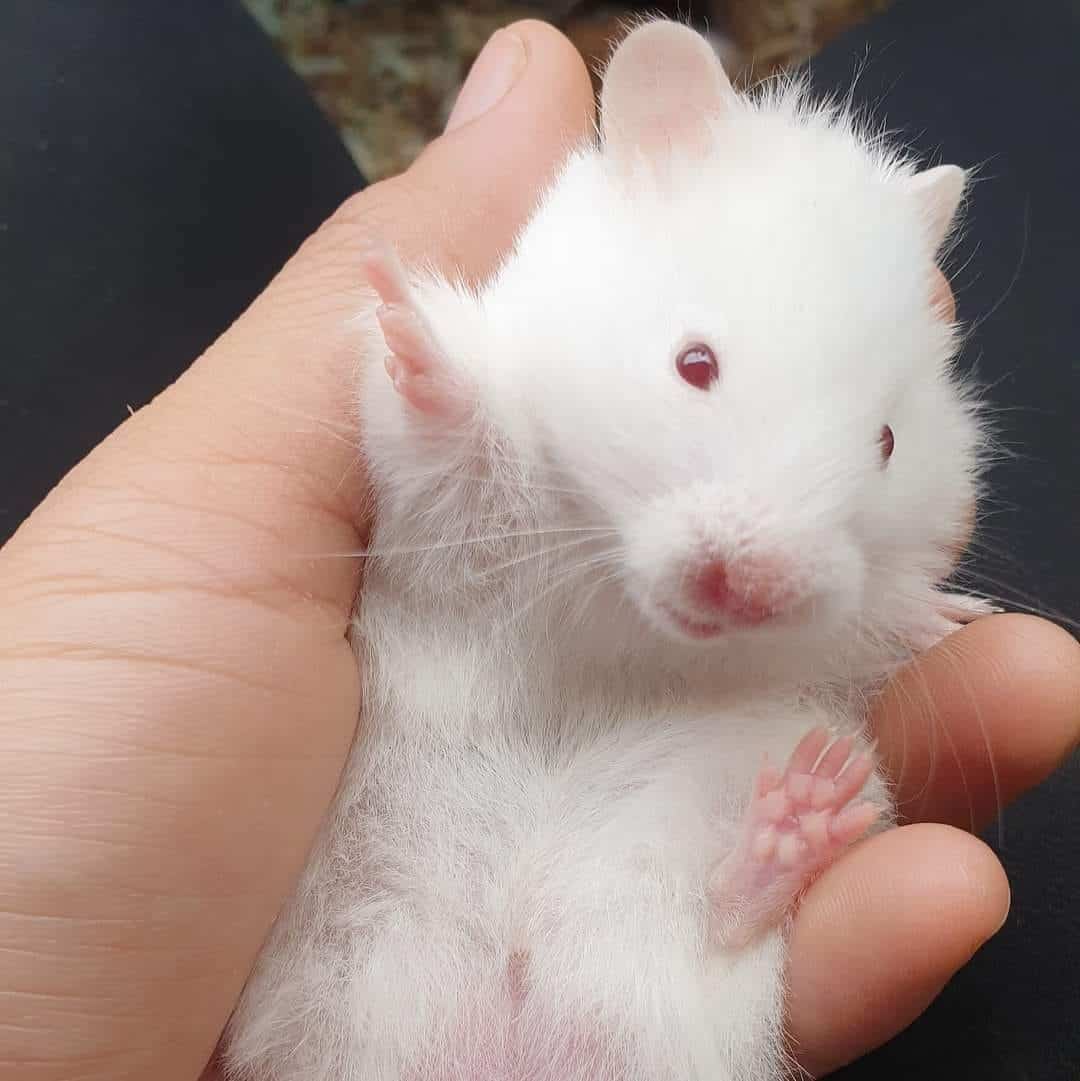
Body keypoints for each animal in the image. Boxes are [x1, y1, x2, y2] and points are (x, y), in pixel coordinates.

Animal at [224, 19, 987, 1081]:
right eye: (694, 363)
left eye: (885, 442)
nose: (749, 587)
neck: (626, 608)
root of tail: (508, 1035)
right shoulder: (446, 539)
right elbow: (462, 449)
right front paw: (411, 323)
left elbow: (868, 617)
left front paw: (950, 616)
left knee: (718, 920)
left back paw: (799, 818)